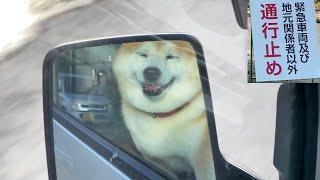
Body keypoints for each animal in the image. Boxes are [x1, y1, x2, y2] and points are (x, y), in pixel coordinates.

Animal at [112, 40, 215, 179]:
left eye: (171, 57)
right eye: (142, 54)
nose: (151, 72)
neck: (159, 114)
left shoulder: (204, 161)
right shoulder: (155, 161)